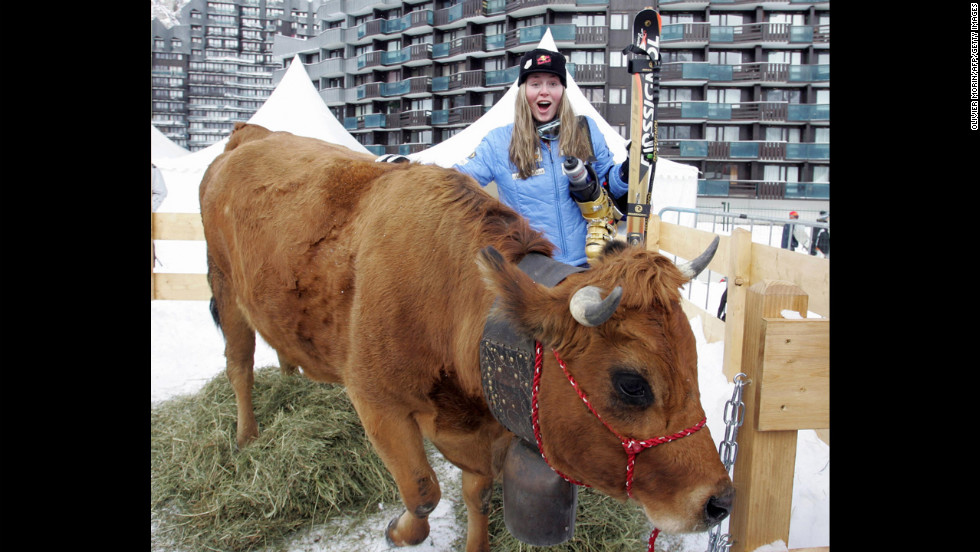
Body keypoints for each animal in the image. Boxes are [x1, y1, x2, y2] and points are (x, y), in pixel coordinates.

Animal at [201, 124, 736, 552]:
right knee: (238, 365)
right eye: (631, 384)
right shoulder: (376, 400)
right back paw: (246, 437)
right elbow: (423, 493)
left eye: (692, 361)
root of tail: (251, 134)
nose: (721, 501)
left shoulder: (488, 421)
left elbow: (476, 494)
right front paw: (400, 531)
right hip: (224, 286)